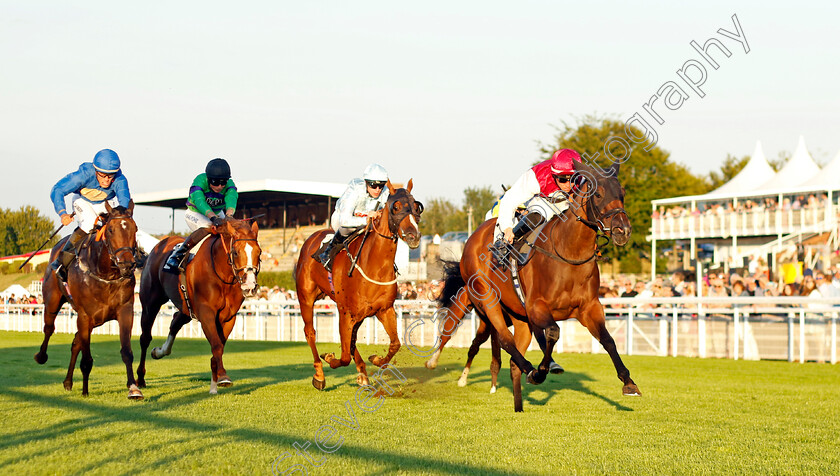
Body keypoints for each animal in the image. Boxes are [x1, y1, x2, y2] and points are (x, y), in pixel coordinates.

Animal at [33, 203, 143, 400]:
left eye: (135, 229)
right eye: (111, 230)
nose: (127, 265)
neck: (105, 273)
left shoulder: (125, 311)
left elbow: (126, 352)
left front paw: (133, 388)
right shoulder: (85, 316)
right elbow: (86, 359)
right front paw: (85, 391)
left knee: (76, 342)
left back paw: (68, 381)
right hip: (53, 300)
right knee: (49, 328)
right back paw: (41, 356)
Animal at [135, 217, 260, 394]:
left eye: (259, 252)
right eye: (235, 252)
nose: (250, 286)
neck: (221, 274)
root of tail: (156, 248)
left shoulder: (228, 317)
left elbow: (219, 345)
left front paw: (218, 380)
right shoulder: (206, 314)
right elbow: (216, 345)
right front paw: (219, 380)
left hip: (186, 307)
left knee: (175, 322)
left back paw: (160, 352)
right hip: (150, 303)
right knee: (145, 338)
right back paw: (140, 378)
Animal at [296, 178, 424, 390]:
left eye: (416, 207)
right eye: (396, 207)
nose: (413, 235)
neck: (374, 266)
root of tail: (311, 239)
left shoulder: (384, 309)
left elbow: (395, 343)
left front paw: (376, 360)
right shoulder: (346, 312)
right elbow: (343, 356)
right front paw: (329, 358)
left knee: (352, 341)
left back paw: (362, 373)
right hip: (306, 297)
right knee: (310, 332)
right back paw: (319, 375)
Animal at [436, 159, 640, 410]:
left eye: (622, 193)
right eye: (599, 194)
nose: (623, 230)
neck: (568, 253)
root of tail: (474, 236)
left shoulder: (589, 308)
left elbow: (608, 340)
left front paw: (628, 382)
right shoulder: (536, 307)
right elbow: (552, 332)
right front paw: (542, 370)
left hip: (518, 316)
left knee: (512, 357)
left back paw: (520, 400)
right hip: (487, 299)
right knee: (502, 339)